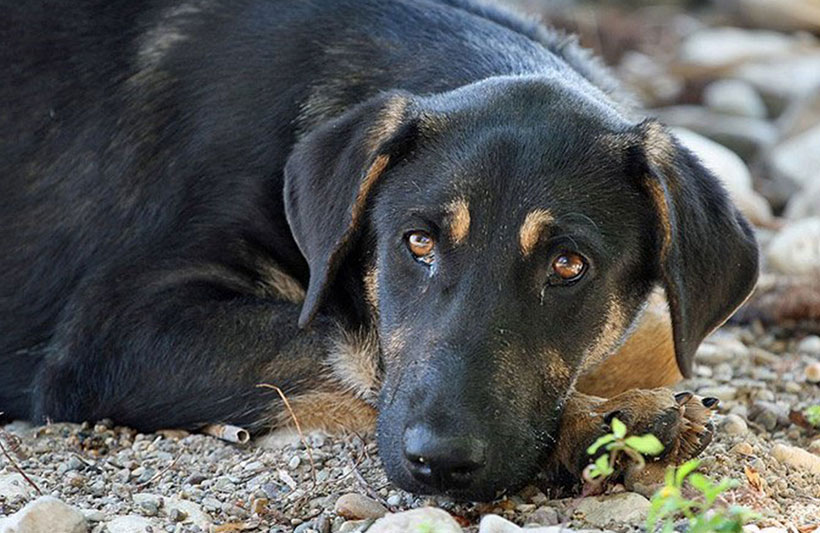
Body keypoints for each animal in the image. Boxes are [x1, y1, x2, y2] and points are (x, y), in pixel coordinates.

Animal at [0, 0, 760, 498]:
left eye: (568, 266)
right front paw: (604, 420)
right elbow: (350, 345)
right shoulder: (113, 332)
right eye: (417, 242)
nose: (440, 464)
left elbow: (654, 335)